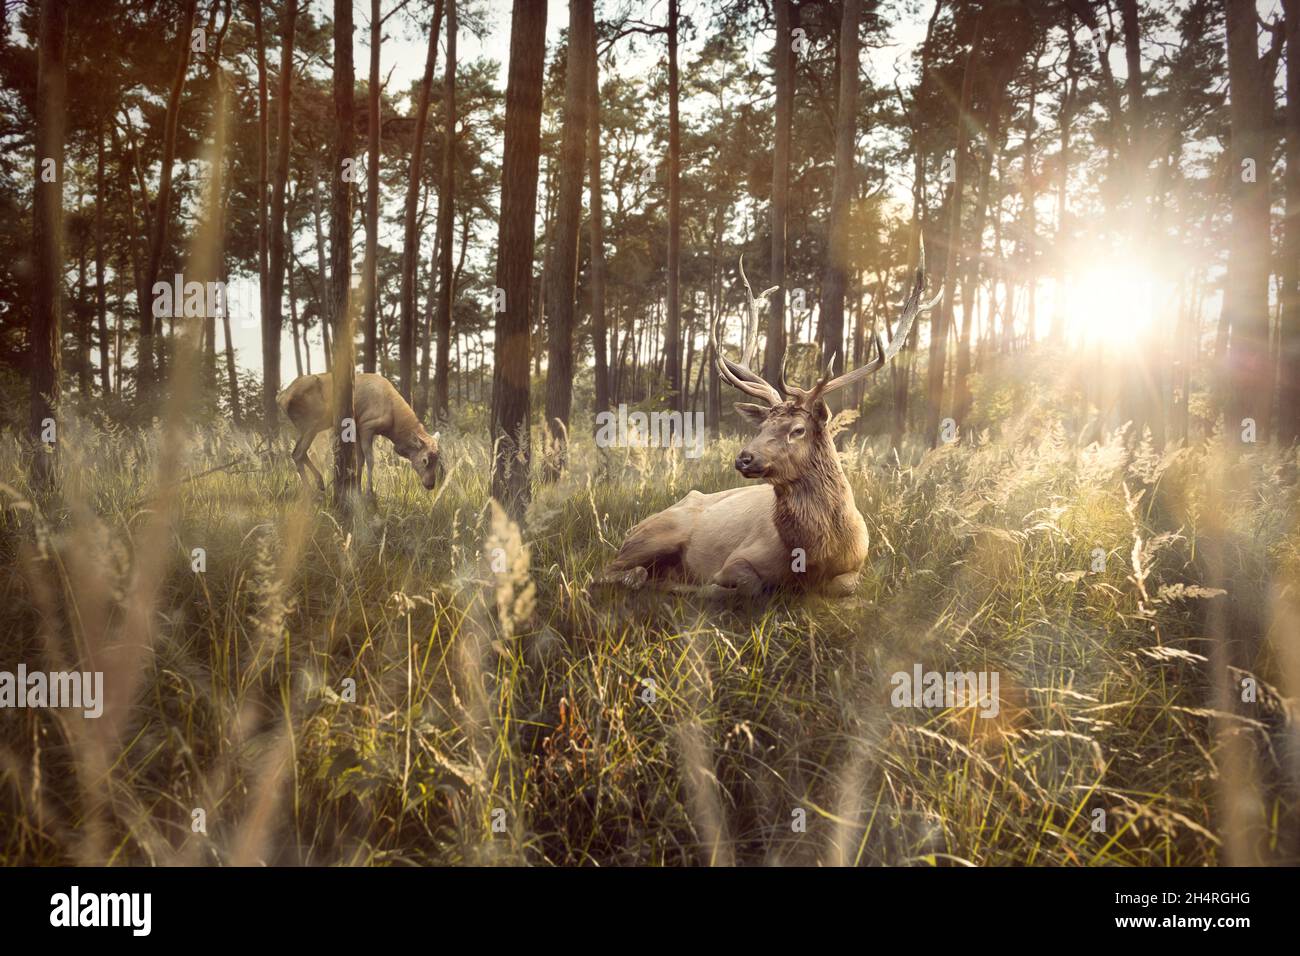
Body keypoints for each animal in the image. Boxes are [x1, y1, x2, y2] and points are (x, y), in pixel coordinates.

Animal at [275, 371, 441, 496]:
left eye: (438, 459)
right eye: (425, 460)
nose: (431, 484)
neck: (394, 425)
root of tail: (281, 398)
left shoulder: (357, 430)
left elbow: (360, 460)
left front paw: (358, 489)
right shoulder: (367, 426)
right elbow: (370, 460)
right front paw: (369, 491)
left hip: (310, 426)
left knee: (298, 452)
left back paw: (320, 483)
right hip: (312, 422)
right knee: (298, 453)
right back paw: (310, 490)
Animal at [603, 244, 941, 598]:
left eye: (797, 430)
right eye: (761, 427)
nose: (744, 457)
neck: (811, 559)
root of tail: (632, 529)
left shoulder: (857, 565)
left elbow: (844, 586)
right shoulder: (740, 556)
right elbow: (747, 584)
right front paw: (708, 587)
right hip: (660, 531)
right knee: (608, 571)